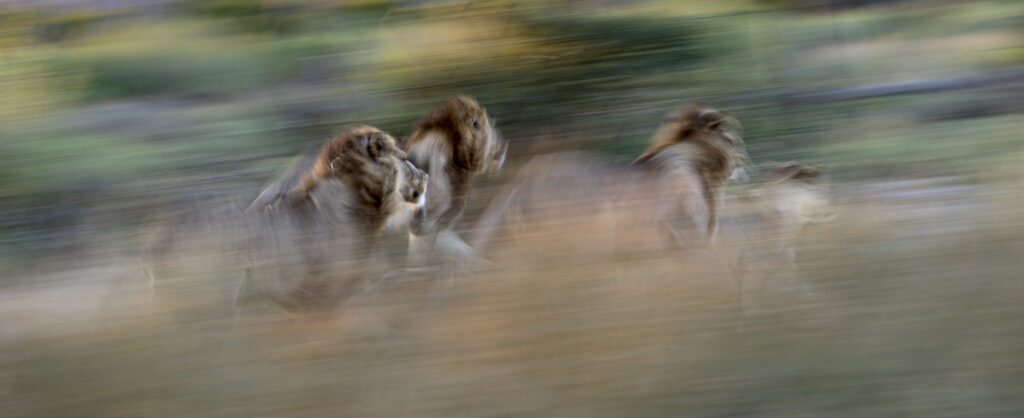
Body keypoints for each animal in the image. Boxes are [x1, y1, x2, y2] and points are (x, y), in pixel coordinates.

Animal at [402, 95, 508, 265]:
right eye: (493, 126)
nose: (506, 144)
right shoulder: (425, 225)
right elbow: (419, 261)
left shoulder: (435, 224)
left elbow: (462, 250)